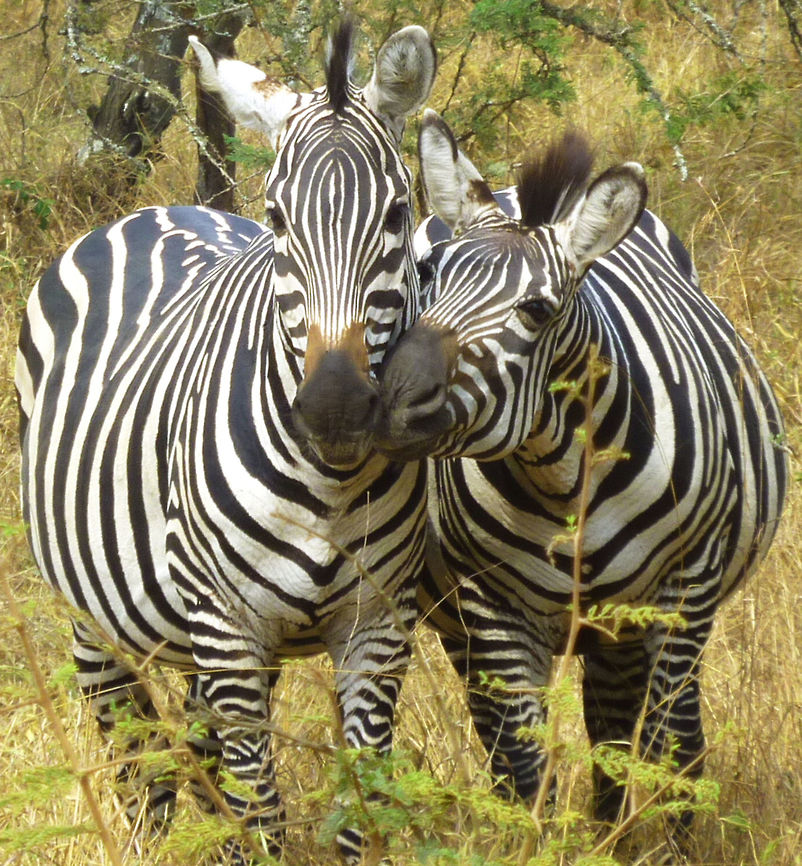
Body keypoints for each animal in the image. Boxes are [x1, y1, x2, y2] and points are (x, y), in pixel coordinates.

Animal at [17, 21, 436, 863]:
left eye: (398, 213)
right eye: (276, 218)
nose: (335, 408)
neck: (328, 483)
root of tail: (150, 212)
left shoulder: (378, 625)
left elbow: (356, 815)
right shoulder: (230, 625)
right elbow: (262, 818)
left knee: (197, 750)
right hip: (93, 615)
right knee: (137, 758)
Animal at [378, 110, 788, 849]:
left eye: (537, 310)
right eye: (427, 278)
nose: (392, 404)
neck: (560, 475)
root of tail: (511, 188)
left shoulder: (686, 585)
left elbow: (674, 751)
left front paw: (666, 851)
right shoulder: (488, 596)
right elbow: (522, 763)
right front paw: (533, 847)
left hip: (621, 619)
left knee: (622, 729)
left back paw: (616, 835)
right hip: (476, 618)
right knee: (531, 733)